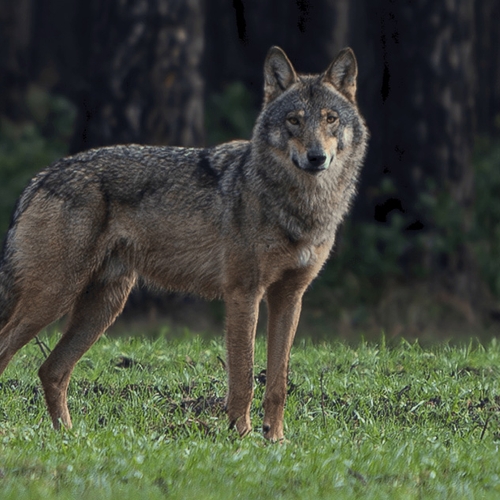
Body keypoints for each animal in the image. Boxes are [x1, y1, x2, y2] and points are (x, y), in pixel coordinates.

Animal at [0, 45, 368, 440]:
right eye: (294, 121)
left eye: (330, 119)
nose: (317, 157)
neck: (300, 207)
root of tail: (40, 177)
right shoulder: (244, 293)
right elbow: (243, 377)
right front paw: (241, 436)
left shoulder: (289, 297)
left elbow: (278, 383)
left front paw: (275, 439)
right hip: (55, 297)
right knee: (12, 351)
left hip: (101, 308)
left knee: (51, 370)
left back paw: (68, 436)